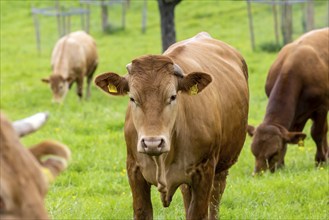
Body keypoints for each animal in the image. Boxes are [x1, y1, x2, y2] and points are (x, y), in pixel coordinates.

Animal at [95, 31, 249, 219]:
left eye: (173, 96)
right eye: (132, 98)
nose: (152, 143)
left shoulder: (204, 172)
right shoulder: (134, 171)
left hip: (221, 167)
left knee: (215, 198)